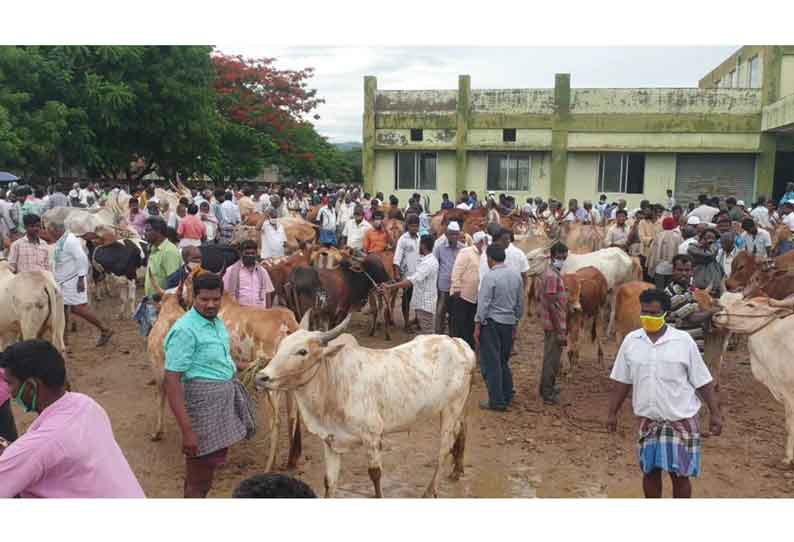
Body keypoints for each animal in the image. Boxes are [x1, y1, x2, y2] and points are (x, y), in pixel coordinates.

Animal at [256, 312, 474, 500]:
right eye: (280, 346)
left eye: (302, 351)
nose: (261, 376)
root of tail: (458, 343)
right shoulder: (330, 441)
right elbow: (329, 482)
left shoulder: (372, 437)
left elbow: (375, 477)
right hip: (460, 408)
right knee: (463, 430)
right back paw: (457, 470)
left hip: (451, 409)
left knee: (444, 448)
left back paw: (431, 490)